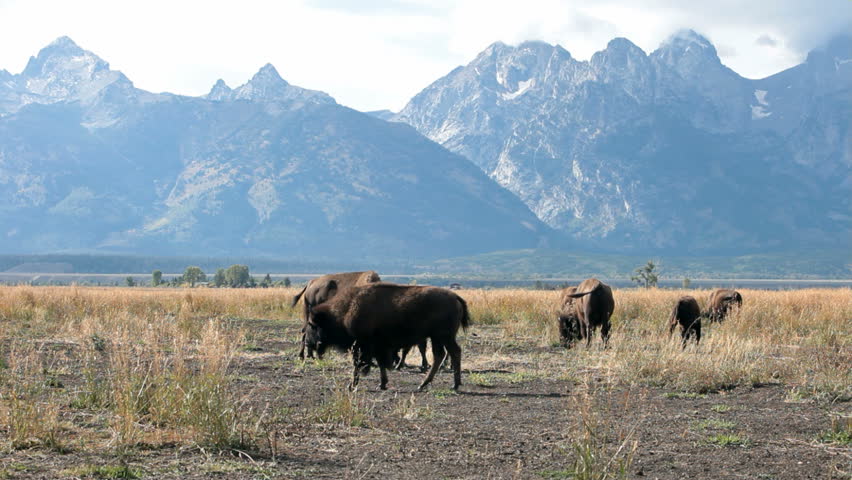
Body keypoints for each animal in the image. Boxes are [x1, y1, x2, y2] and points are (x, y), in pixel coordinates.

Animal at [307, 282, 470, 391]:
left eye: (312, 325)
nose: (310, 343)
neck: (347, 309)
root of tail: (455, 296)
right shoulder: (378, 346)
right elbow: (380, 364)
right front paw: (382, 383)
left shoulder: (361, 346)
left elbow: (359, 365)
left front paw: (351, 385)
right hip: (437, 338)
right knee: (440, 355)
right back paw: (424, 384)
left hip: (444, 336)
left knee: (453, 352)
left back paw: (453, 385)